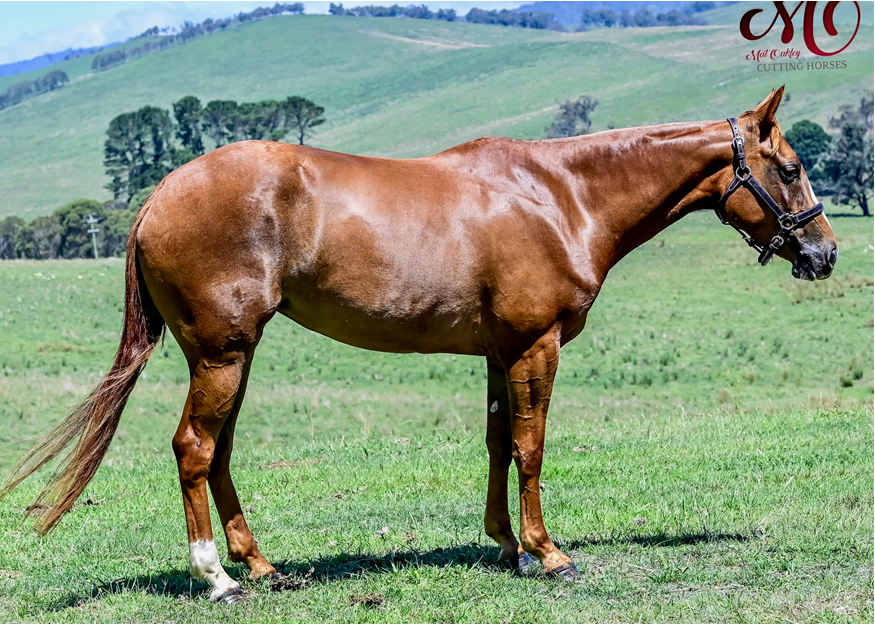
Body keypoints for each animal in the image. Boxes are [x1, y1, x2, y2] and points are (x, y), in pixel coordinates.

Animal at [2, 87, 837, 602]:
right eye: (791, 169)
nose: (824, 254)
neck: (558, 194)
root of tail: (159, 198)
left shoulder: (502, 353)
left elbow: (499, 443)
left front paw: (506, 545)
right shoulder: (536, 346)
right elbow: (531, 446)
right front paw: (549, 553)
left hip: (231, 355)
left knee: (221, 453)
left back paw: (262, 566)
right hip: (221, 353)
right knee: (194, 450)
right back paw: (218, 577)